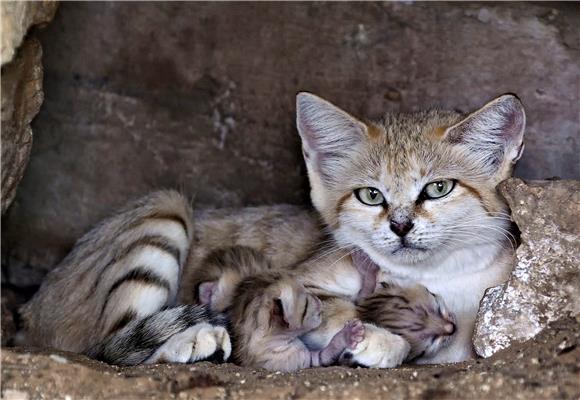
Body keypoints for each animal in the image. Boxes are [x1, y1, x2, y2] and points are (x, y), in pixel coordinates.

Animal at [19, 92, 524, 368]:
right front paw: (379, 337)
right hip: (165, 209)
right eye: (371, 196)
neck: (441, 276)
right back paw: (193, 339)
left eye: (438, 188)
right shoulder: (295, 282)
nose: (400, 225)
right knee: (109, 347)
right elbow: (335, 306)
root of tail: (29, 312)